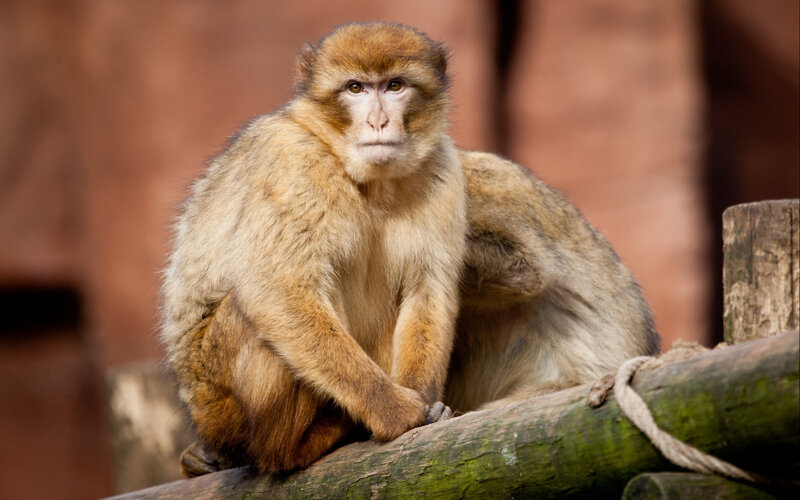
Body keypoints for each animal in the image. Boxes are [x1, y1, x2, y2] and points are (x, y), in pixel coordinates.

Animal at [160, 22, 466, 475]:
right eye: (355, 88)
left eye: (395, 86)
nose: (378, 120)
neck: (364, 178)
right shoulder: (293, 164)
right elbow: (278, 289)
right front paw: (393, 411)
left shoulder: (443, 168)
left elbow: (426, 289)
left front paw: (429, 407)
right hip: (222, 405)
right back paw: (297, 446)